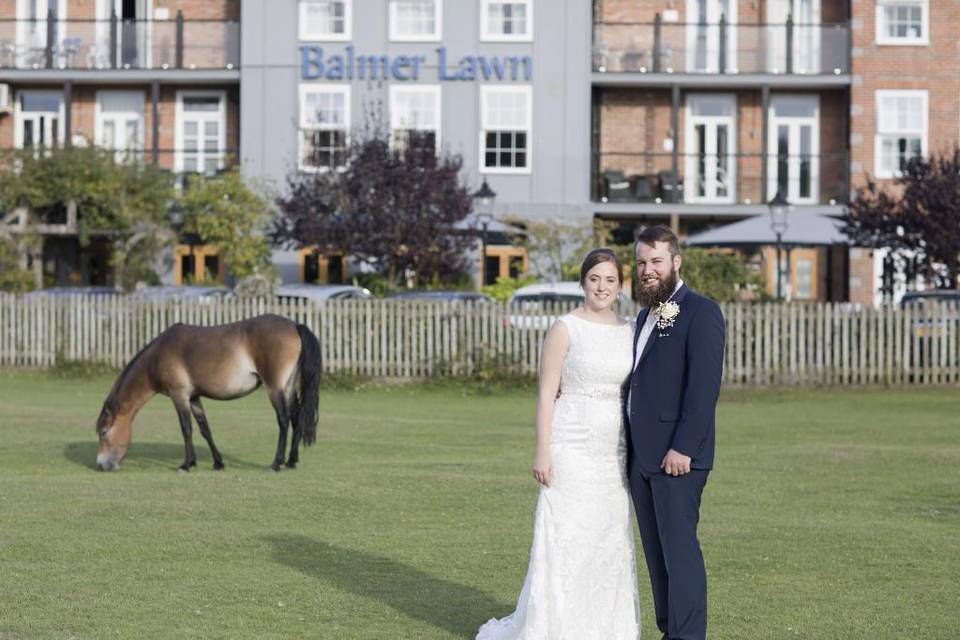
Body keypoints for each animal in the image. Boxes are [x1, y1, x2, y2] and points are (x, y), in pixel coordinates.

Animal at [96, 312, 322, 472]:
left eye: (103, 432)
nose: (100, 465)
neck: (158, 356)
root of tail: (295, 325)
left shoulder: (179, 395)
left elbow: (186, 428)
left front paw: (186, 464)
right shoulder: (194, 397)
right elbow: (205, 429)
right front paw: (217, 462)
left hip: (275, 389)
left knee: (283, 421)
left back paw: (276, 464)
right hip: (288, 388)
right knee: (297, 419)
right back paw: (291, 461)